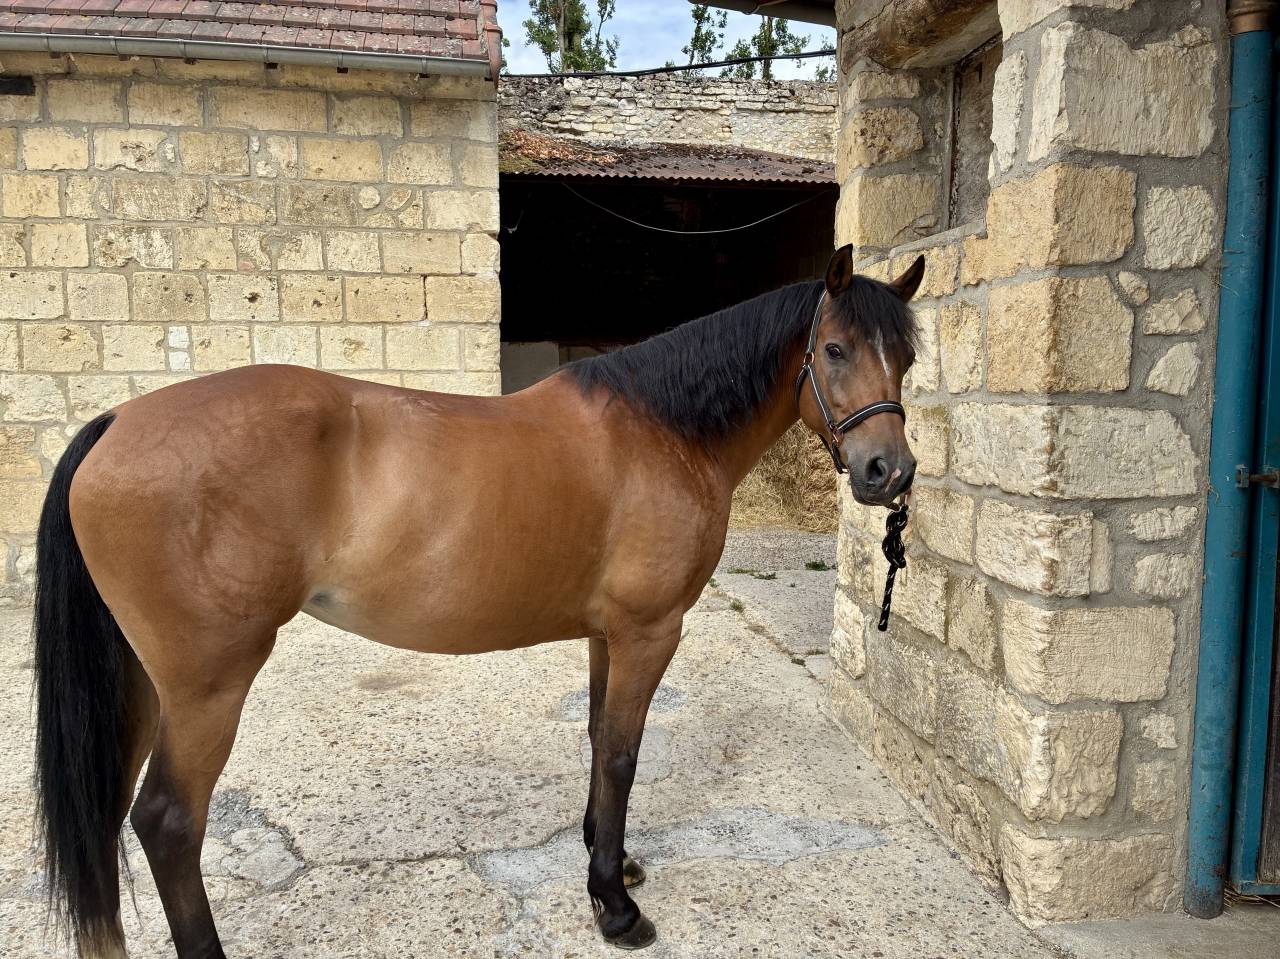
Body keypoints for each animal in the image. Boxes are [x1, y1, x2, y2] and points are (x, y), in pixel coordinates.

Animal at [31, 244, 923, 957]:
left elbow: (596, 739)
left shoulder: (605, 635)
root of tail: (116, 422)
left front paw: (607, 859)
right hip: (208, 686)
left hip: (144, 685)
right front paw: (615, 904)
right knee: (168, 821)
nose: (890, 472)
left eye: (906, 359)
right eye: (835, 348)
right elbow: (623, 752)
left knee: (111, 819)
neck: (662, 430)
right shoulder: (648, 631)